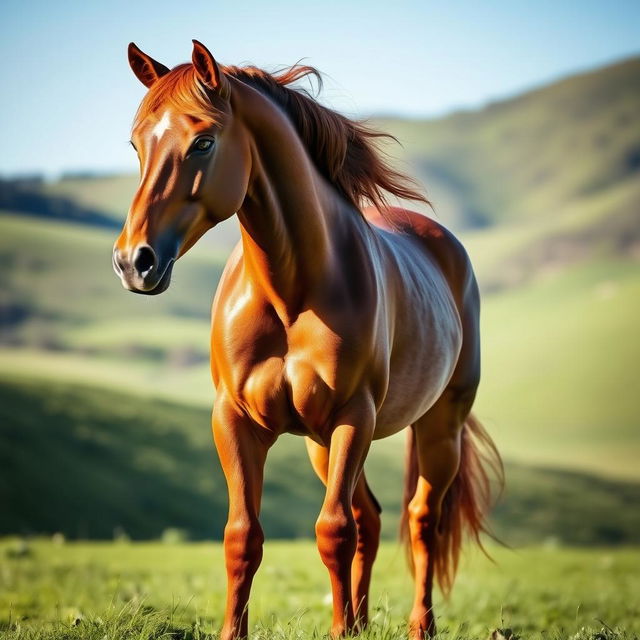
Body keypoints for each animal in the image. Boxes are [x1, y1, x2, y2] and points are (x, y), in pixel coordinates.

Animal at [115, 41, 504, 640]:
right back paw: (363, 621)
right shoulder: (236, 420)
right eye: (136, 144)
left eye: (203, 141)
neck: (290, 291)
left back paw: (420, 625)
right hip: (322, 443)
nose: (134, 262)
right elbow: (243, 537)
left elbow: (333, 531)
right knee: (371, 516)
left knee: (421, 521)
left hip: (439, 428)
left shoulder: (352, 416)